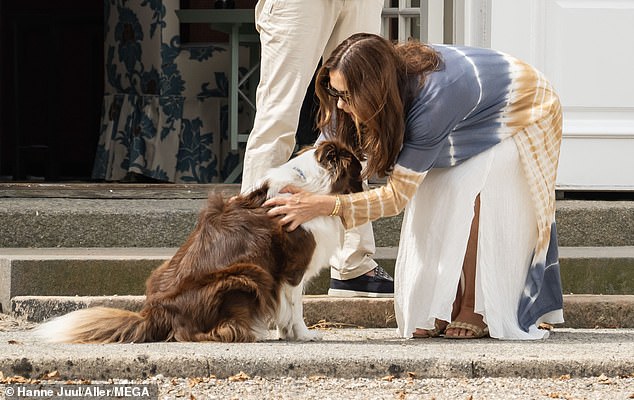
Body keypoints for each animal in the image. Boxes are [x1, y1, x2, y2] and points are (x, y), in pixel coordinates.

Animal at [34, 141, 360, 344]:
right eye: (357, 167)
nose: (370, 170)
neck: (310, 185)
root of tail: (155, 314)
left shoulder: (282, 278)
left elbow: (286, 311)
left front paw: (287, 333)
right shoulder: (292, 271)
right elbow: (296, 309)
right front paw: (303, 335)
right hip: (247, 276)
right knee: (204, 332)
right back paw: (247, 331)